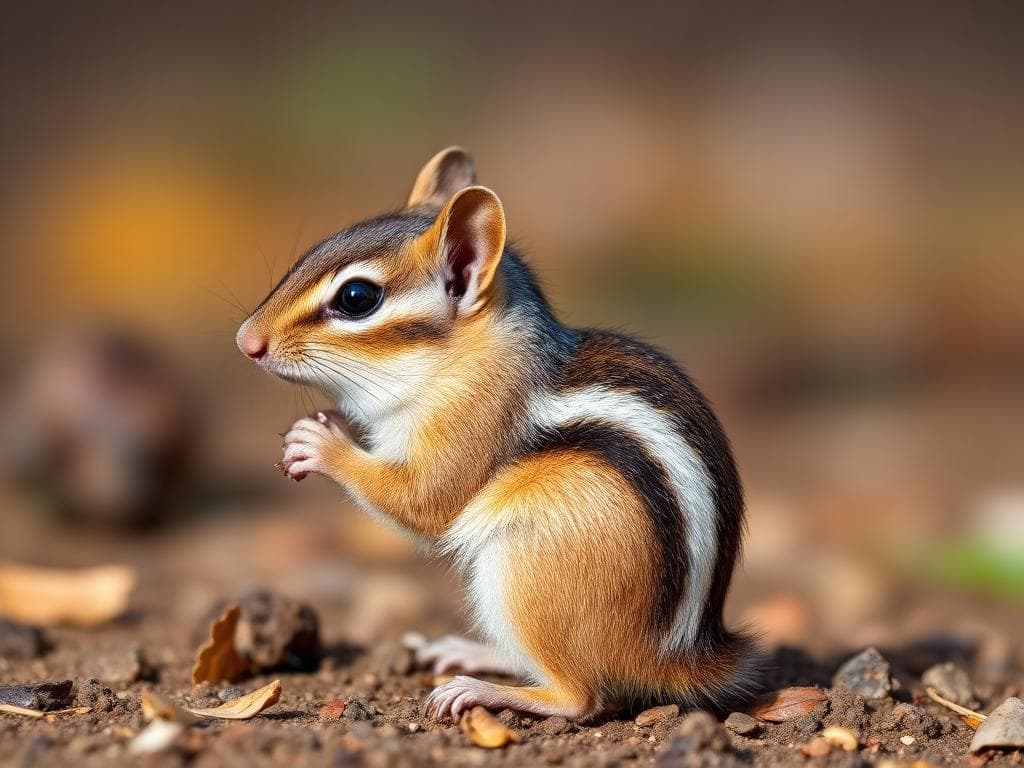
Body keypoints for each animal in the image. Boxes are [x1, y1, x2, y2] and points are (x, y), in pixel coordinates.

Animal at [236, 147, 760, 721]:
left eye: (356, 297)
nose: (246, 342)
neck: (464, 356)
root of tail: (676, 658)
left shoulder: (470, 424)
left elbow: (426, 501)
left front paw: (321, 444)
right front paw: (331, 423)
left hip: (526, 565)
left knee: (582, 697)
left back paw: (479, 689)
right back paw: (471, 652)